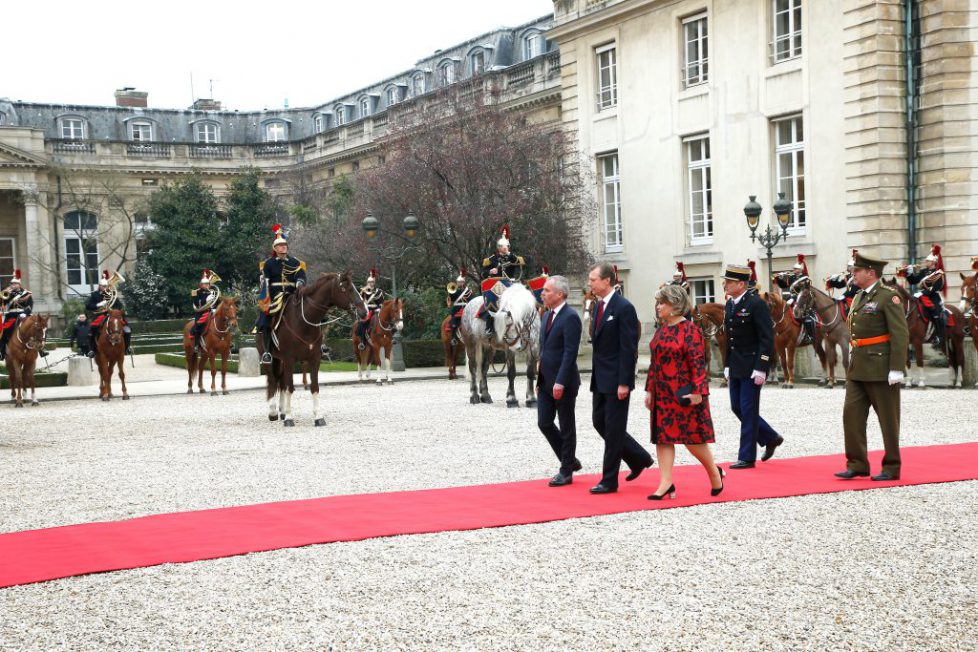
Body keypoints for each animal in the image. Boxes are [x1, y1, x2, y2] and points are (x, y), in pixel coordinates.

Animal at [255, 272, 366, 428]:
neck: (304, 320)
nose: (364, 311)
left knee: (281, 382)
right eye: (345, 288)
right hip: (269, 358)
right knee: (272, 380)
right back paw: (273, 412)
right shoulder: (289, 359)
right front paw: (289, 417)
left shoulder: (314, 359)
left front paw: (318, 416)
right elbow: (290, 387)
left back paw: (282, 411)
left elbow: (314, 387)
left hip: (281, 361)